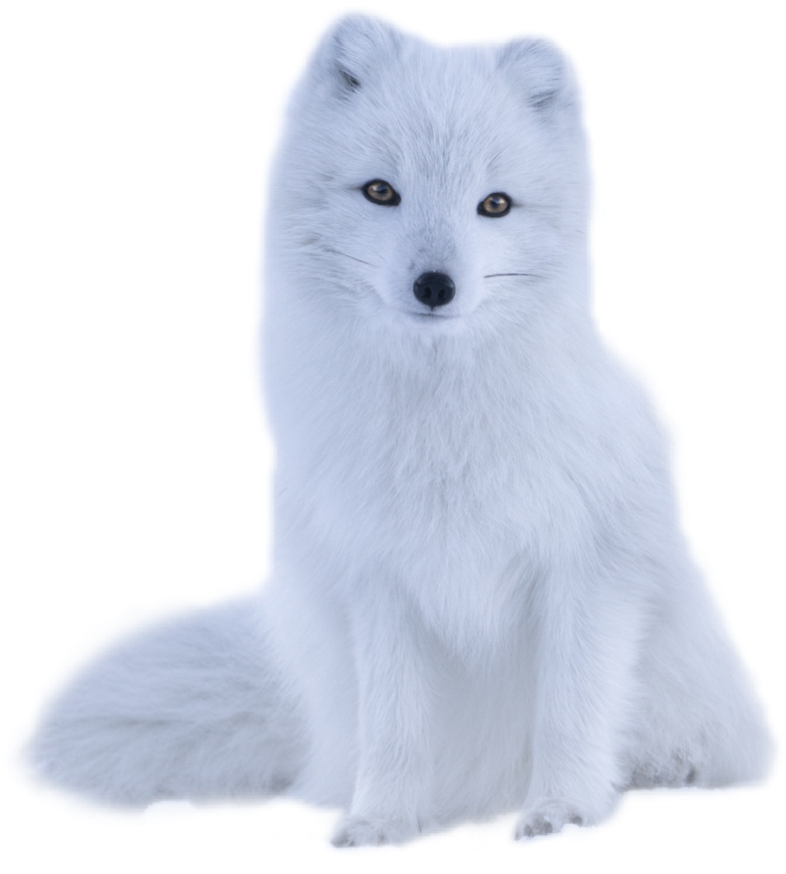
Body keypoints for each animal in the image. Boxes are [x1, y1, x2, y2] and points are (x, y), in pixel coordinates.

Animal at [4, 4, 782, 850]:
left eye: (495, 205)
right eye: (381, 191)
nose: (435, 285)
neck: (442, 428)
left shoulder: (589, 567)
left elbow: (570, 710)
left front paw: (561, 812)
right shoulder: (378, 581)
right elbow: (397, 724)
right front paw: (385, 822)